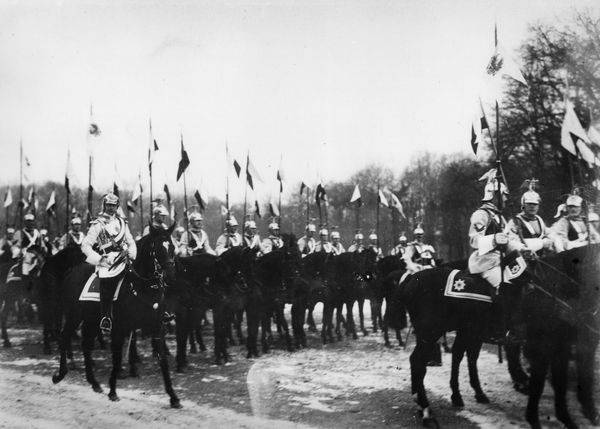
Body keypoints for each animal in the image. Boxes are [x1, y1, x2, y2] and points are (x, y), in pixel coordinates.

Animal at [52, 224, 180, 408]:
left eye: (172, 247)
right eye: (156, 248)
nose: (170, 275)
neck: (140, 286)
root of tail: (71, 272)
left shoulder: (156, 329)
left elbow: (162, 360)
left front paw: (173, 396)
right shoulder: (119, 329)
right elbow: (117, 358)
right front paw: (113, 391)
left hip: (90, 321)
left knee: (86, 345)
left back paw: (94, 383)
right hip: (74, 316)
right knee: (64, 337)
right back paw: (60, 375)